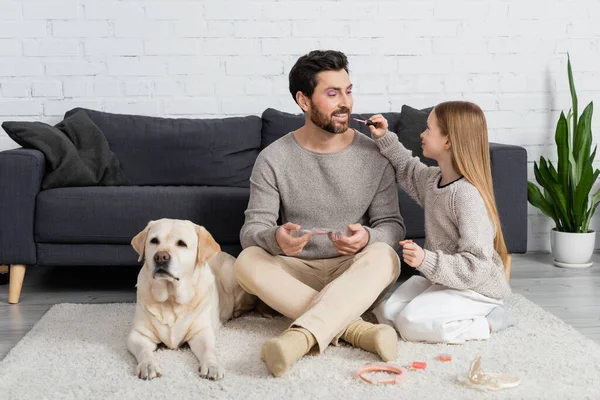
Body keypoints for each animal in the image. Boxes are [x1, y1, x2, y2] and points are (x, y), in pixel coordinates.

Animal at [125, 219, 256, 382]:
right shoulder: (138, 335)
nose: (160, 257)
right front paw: (148, 365)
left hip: (231, 275)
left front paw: (212, 365)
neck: (171, 299)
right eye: (154, 241)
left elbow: (208, 351)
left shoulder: (201, 333)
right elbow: (144, 351)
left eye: (181, 243)